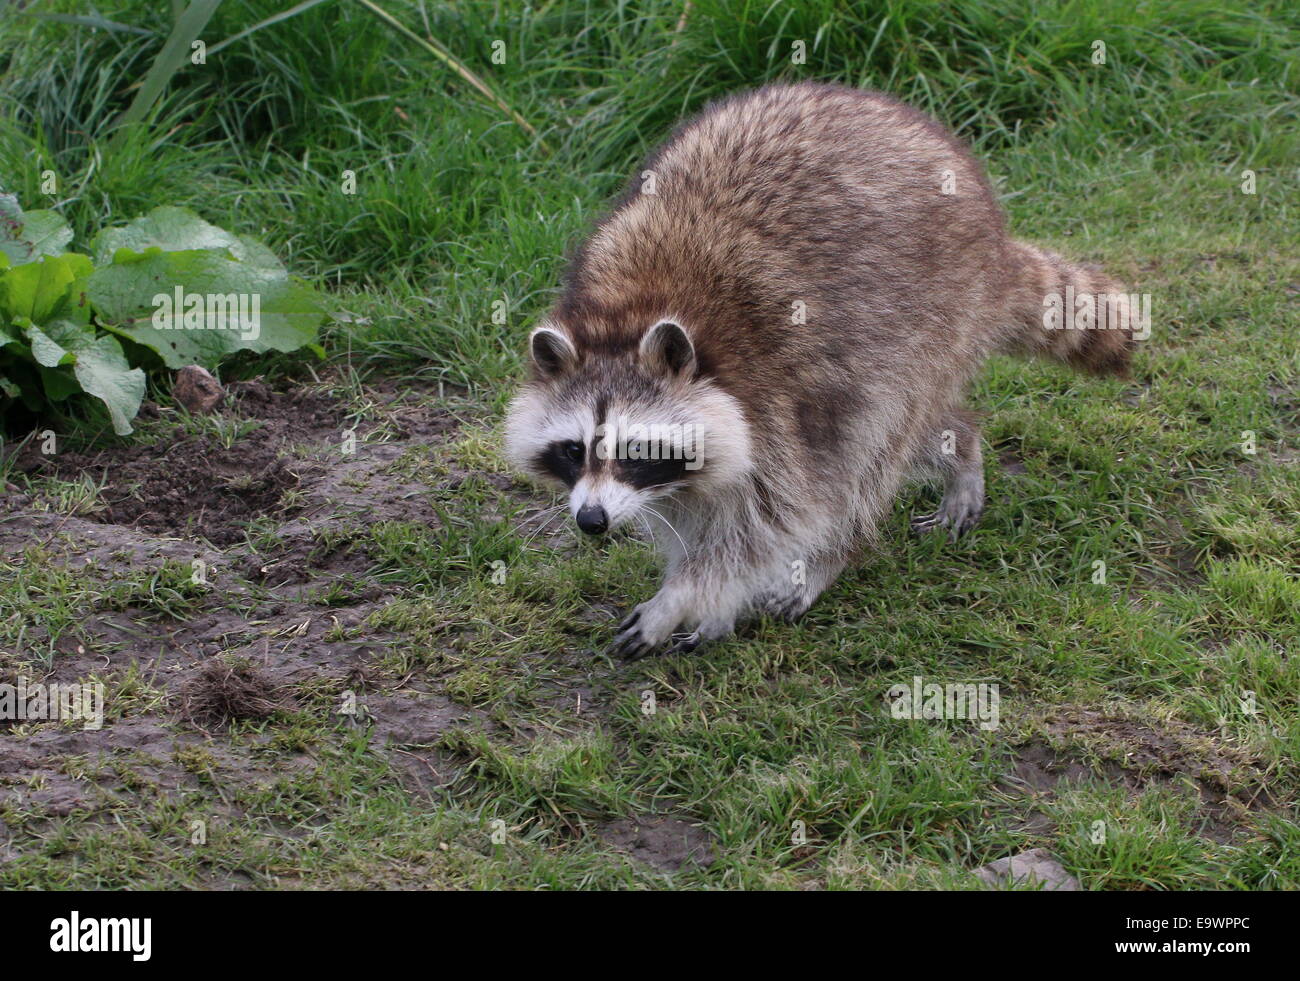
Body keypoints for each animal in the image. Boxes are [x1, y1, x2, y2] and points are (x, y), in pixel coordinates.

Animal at [501, 78, 1133, 660]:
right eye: (572, 450)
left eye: (637, 449)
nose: (591, 521)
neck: (626, 317)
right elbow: (692, 511)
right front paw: (708, 600)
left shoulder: (775, 399)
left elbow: (774, 520)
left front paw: (684, 596)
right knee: (912, 430)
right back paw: (960, 444)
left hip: (932, 318)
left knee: (870, 450)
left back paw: (842, 550)